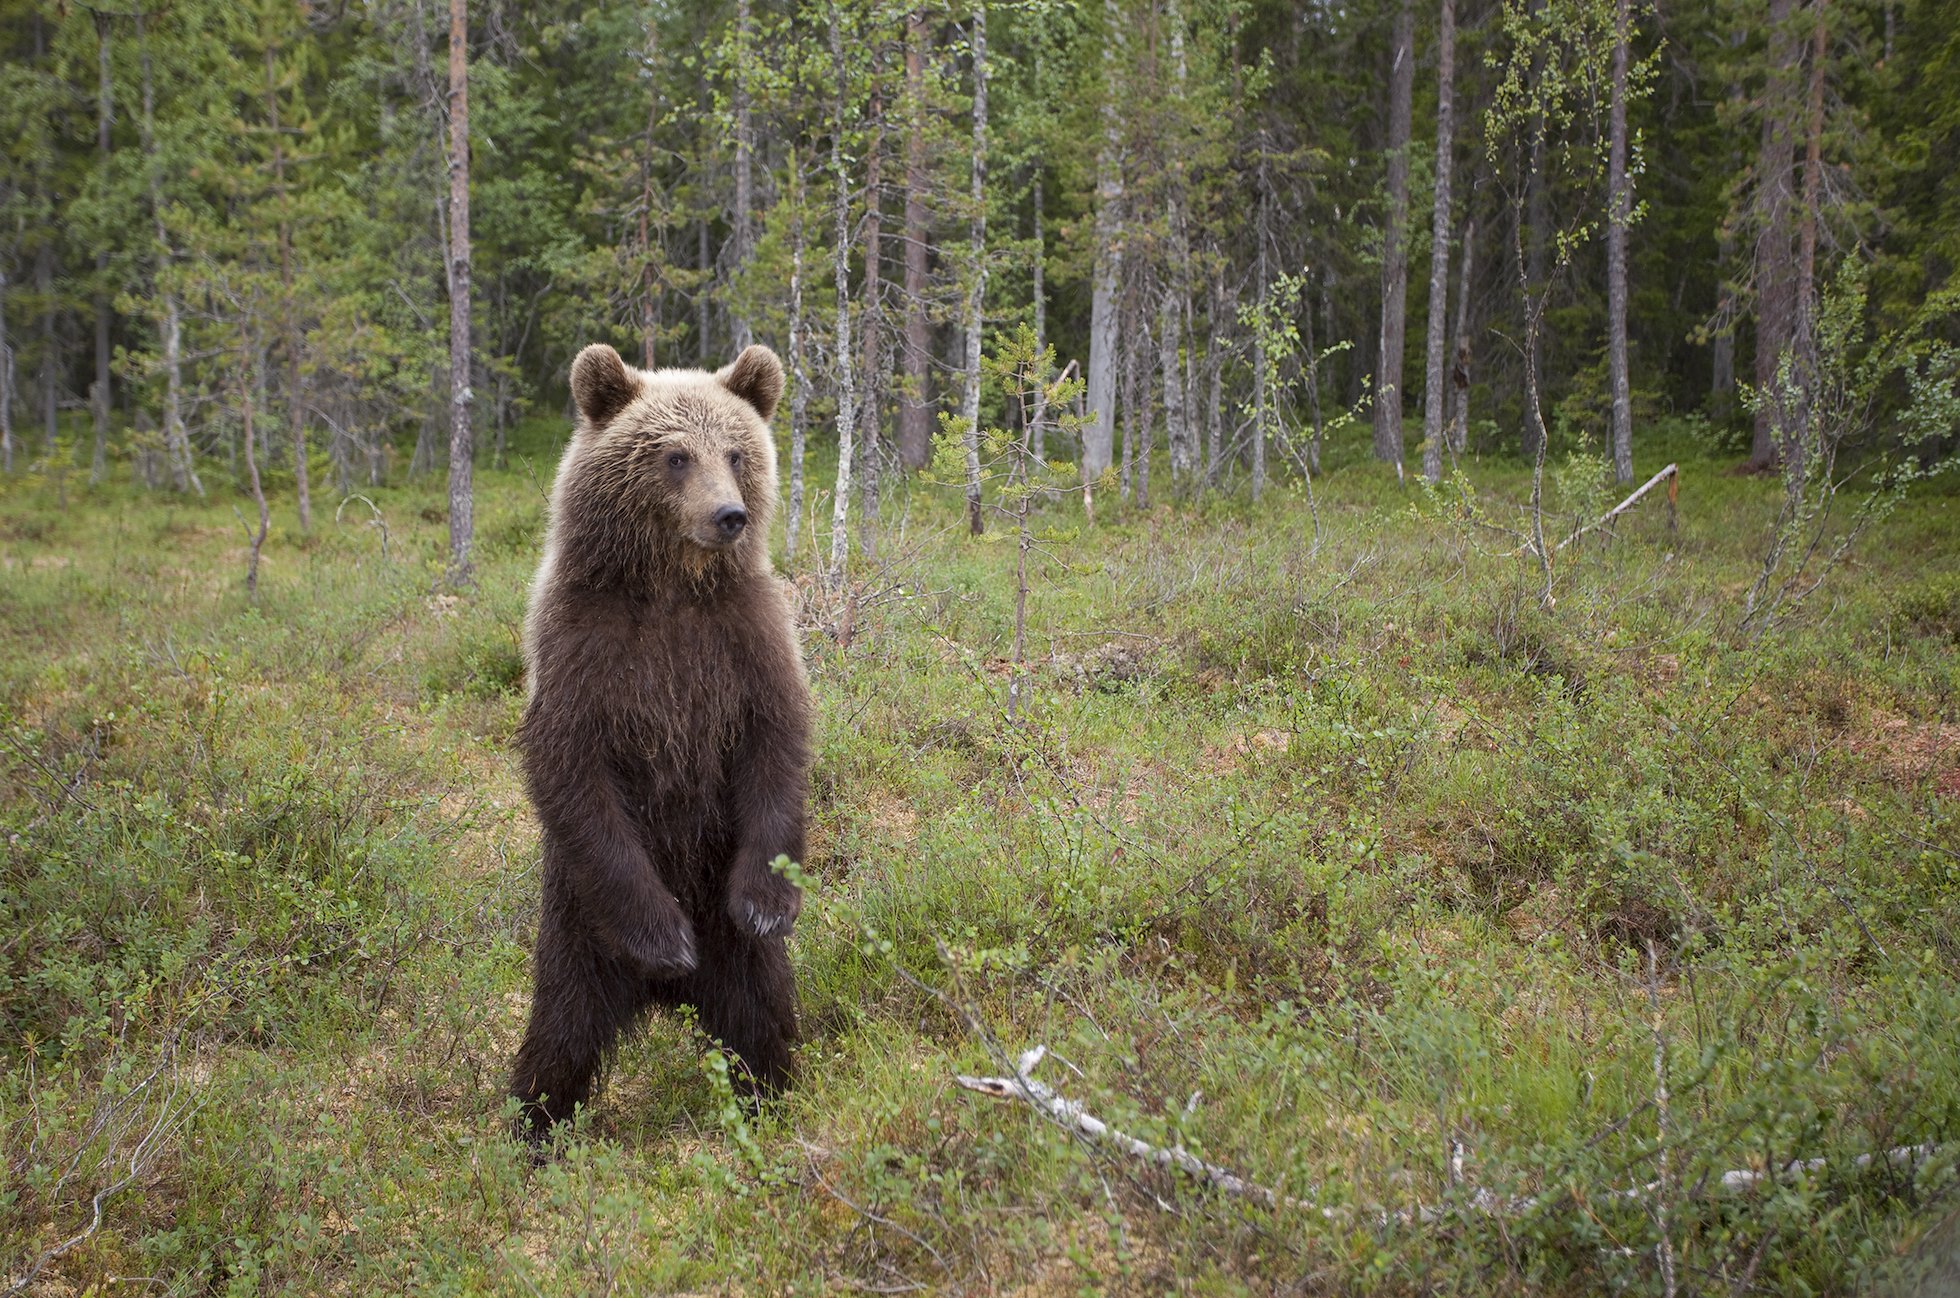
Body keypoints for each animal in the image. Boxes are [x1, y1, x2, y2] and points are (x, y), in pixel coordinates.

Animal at [513, 343, 811, 1137]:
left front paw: (767, 900)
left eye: (736, 452)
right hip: (577, 928)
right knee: (560, 1035)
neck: (674, 586)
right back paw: (531, 1130)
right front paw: (663, 935)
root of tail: (665, 998)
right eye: (675, 456)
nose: (729, 515)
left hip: (735, 949)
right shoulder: (583, 646)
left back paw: (773, 1099)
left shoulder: (746, 637)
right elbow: (569, 766)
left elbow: (778, 744)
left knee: (761, 1021)